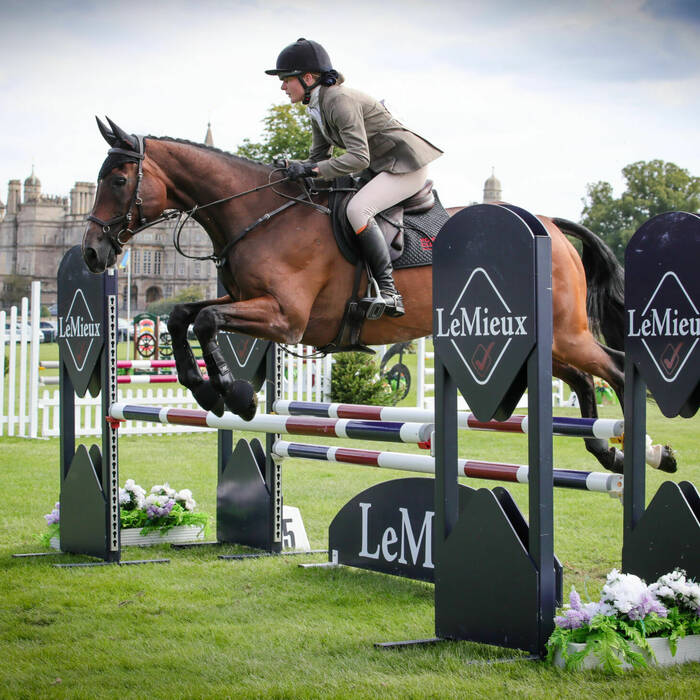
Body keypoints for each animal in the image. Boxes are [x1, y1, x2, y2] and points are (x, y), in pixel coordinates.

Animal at [82, 117, 680, 474]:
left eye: (119, 180)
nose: (91, 253)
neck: (263, 215)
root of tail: (549, 225)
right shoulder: (249, 305)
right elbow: (183, 315)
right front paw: (210, 392)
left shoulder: (284, 318)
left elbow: (204, 323)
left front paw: (237, 396)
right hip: (545, 342)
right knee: (582, 380)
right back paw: (611, 453)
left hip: (565, 333)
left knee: (616, 368)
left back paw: (650, 452)